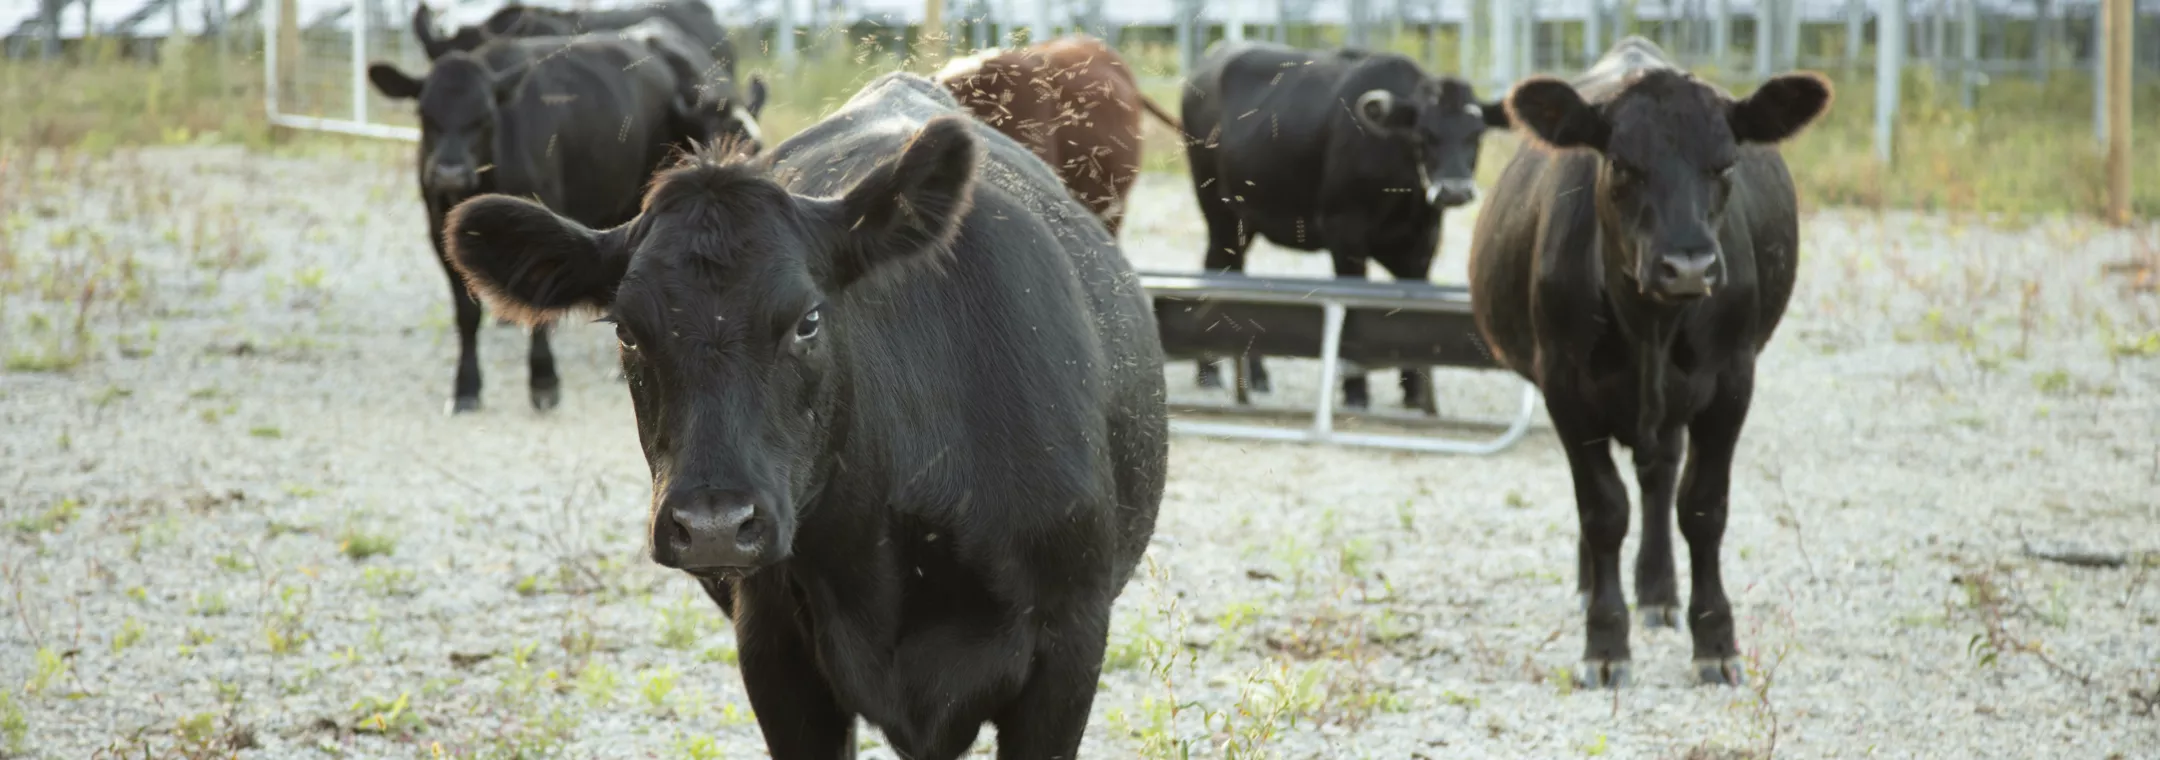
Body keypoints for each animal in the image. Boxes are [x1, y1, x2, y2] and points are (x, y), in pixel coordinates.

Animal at [368, 32, 748, 414]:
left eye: (485, 116)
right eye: (423, 113)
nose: (450, 173)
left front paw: (543, 381)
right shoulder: (439, 230)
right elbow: (466, 314)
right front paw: (466, 387)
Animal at [1179, 41, 1512, 410]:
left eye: (1476, 134)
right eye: (1424, 133)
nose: (1454, 190)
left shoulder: (1421, 246)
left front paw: (1414, 393)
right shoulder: (1345, 236)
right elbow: (1352, 309)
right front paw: (1356, 391)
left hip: (1241, 224)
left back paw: (1245, 374)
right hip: (1221, 215)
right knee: (1221, 274)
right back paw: (1212, 372)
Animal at [1466, 37, 1831, 689]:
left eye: (1726, 165)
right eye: (1621, 165)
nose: (1687, 266)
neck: (1651, 327)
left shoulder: (1732, 382)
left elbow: (1703, 507)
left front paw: (1715, 639)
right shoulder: (1565, 387)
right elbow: (1602, 510)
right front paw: (1606, 642)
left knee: (1660, 474)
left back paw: (1659, 592)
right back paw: (1596, 586)